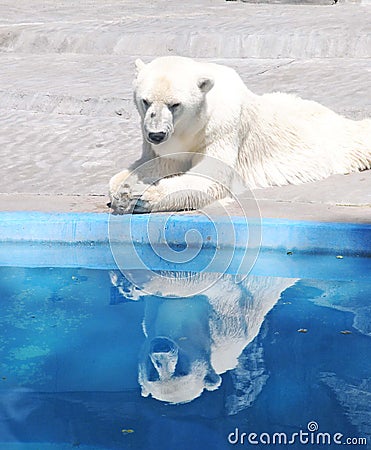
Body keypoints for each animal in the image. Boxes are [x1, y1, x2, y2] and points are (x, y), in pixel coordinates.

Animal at [109, 55, 371, 214]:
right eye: (145, 101)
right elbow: (160, 163)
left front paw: (143, 196)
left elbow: (211, 176)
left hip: (333, 139)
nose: (157, 134)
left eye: (175, 104)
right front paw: (122, 189)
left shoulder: (221, 129)